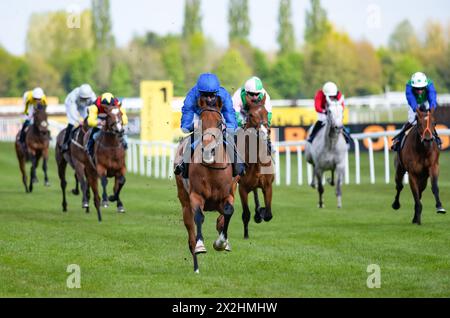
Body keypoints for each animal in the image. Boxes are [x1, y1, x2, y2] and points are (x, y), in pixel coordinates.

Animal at [176, 95, 237, 272]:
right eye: (201, 121)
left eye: (219, 122)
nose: (208, 148)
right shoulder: (196, 196)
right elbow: (199, 216)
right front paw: (200, 246)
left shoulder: (228, 195)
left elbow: (228, 212)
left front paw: (221, 243)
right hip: (184, 201)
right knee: (190, 231)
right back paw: (196, 266)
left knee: (221, 218)